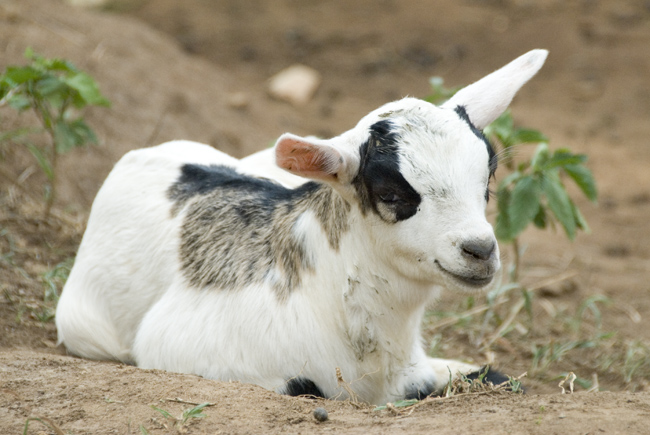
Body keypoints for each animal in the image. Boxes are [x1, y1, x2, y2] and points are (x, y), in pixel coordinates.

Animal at [55, 50, 544, 406]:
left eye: (487, 181)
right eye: (391, 194)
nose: (480, 250)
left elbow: (498, 376)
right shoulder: (176, 345)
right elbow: (305, 386)